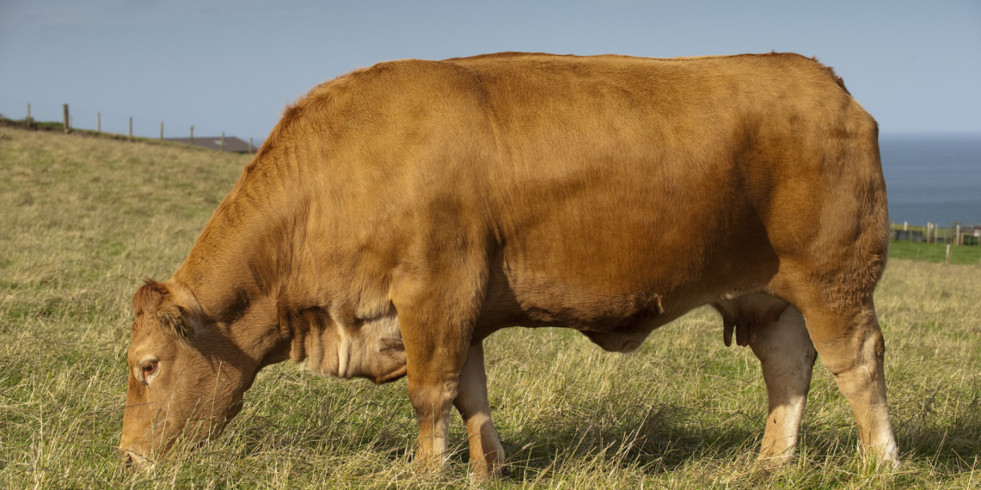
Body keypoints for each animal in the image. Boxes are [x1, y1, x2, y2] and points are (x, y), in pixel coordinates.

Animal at [118, 52, 900, 474]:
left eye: (147, 366)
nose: (126, 457)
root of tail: (819, 78)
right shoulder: (456, 307)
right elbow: (470, 393)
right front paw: (486, 467)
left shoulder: (431, 293)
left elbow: (429, 394)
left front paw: (426, 471)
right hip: (770, 295)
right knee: (787, 367)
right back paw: (770, 461)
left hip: (834, 279)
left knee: (856, 361)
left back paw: (880, 460)